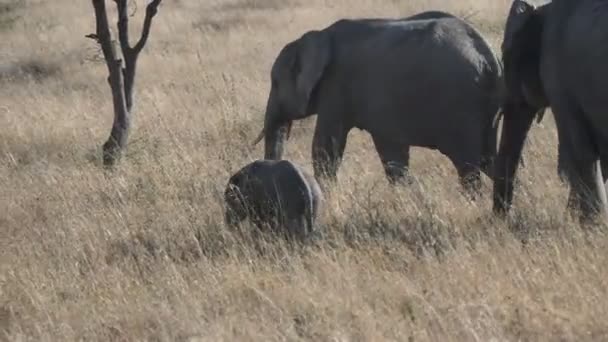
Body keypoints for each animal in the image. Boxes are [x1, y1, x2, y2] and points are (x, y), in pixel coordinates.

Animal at [252, 10, 504, 194]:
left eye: (275, 83)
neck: (316, 36)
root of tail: (489, 56)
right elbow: (392, 151)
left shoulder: (336, 85)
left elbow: (327, 146)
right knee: (489, 158)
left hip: (460, 105)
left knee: (468, 164)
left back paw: (472, 201)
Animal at [492, 0, 608, 222]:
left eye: (506, 56)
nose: (503, 220)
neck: (543, 9)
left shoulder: (558, 77)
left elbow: (578, 152)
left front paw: (588, 223)